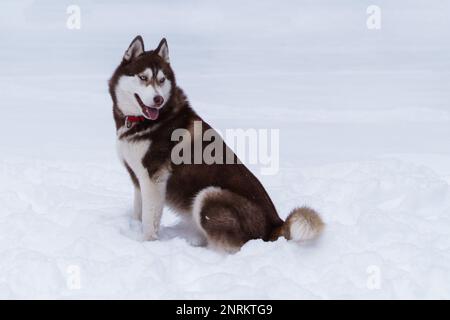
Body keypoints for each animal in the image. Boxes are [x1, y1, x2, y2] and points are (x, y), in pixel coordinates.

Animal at [109, 36, 324, 252]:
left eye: (161, 80)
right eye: (143, 78)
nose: (158, 99)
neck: (142, 122)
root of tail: (274, 224)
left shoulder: (154, 180)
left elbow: (150, 221)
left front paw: (146, 243)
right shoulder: (138, 178)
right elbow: (139, 213)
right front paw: (134, 228)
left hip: (208, 195)